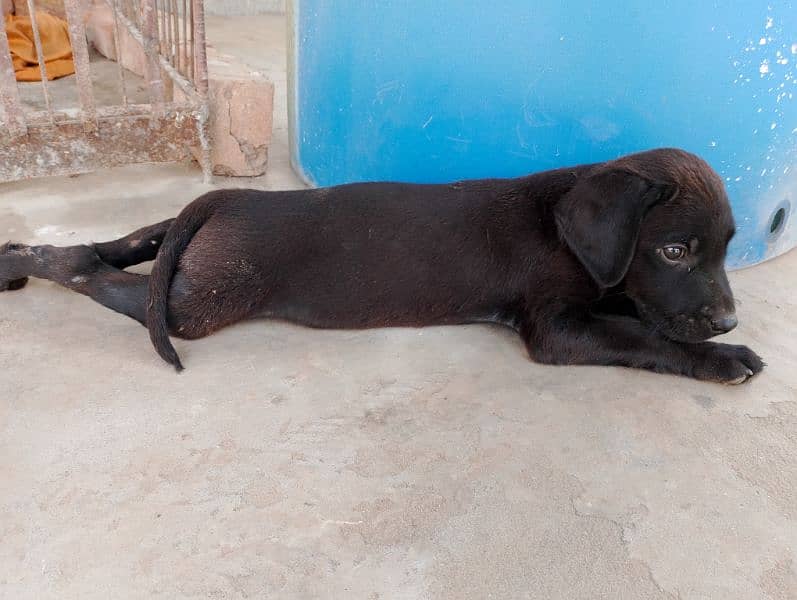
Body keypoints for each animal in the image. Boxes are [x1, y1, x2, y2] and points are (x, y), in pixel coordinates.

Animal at [0, 150, 764, 384]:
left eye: (729, 248)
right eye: (673, 251)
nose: (728, 319)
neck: (564, 225)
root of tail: (227, 196)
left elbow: (637, 311)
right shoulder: (557, 329)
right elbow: (642, 334)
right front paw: (722, 358)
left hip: (184, 256)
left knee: (129, 244)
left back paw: (15, 256)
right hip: (205, 299)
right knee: (97, 274)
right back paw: (40, 261)